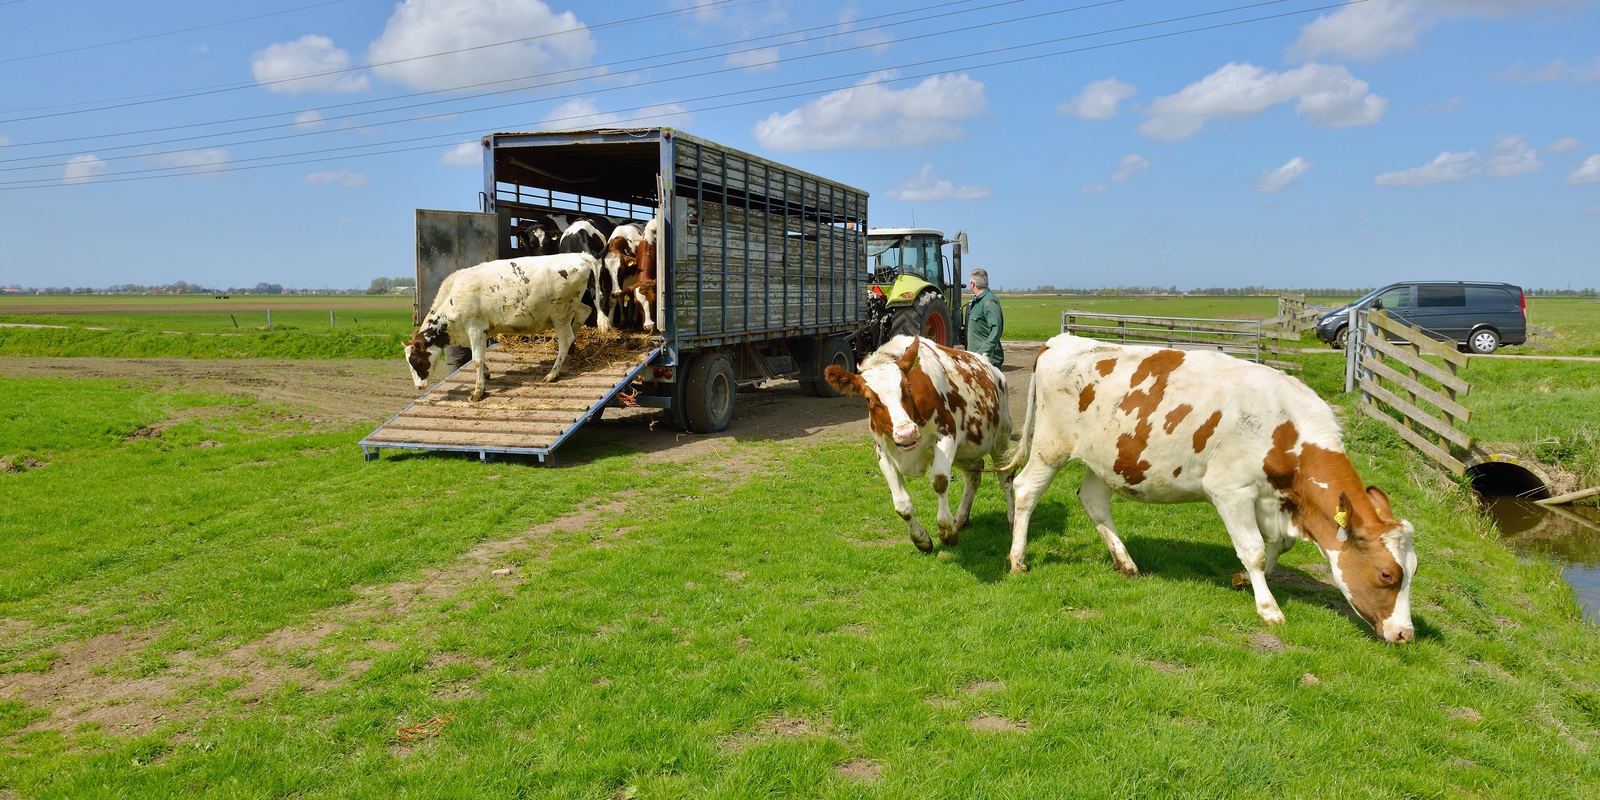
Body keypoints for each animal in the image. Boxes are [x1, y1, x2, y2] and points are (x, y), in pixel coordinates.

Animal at [825, 334, 1011, 553]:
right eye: (869, 399)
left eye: (906, 387)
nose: (906, 433)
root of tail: (993, 369)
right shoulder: (883, 454)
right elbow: (902, 506)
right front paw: (920, 538)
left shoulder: (946, 436)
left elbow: (939, 482)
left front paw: (947, 530)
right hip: (964, 451)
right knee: (974, 473)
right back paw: (961, 518)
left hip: (1001, 438)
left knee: (1006, 478)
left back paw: (1012, 521)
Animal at [1004, 332, 1420, 643]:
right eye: (1387, 575)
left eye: (1413, 571)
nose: (1405, 634)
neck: (1286, 425)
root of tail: (1060, 340)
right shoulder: (1230, 489)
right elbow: (1253, 550)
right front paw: (1269, 608)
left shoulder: (1275, 502)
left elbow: (1277, 548)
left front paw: (1244, 581)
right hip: (1051, 445)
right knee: (1025, 490)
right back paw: (1018, 560)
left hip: (1108, 459)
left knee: (1093, 501)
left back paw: (1126, 563)